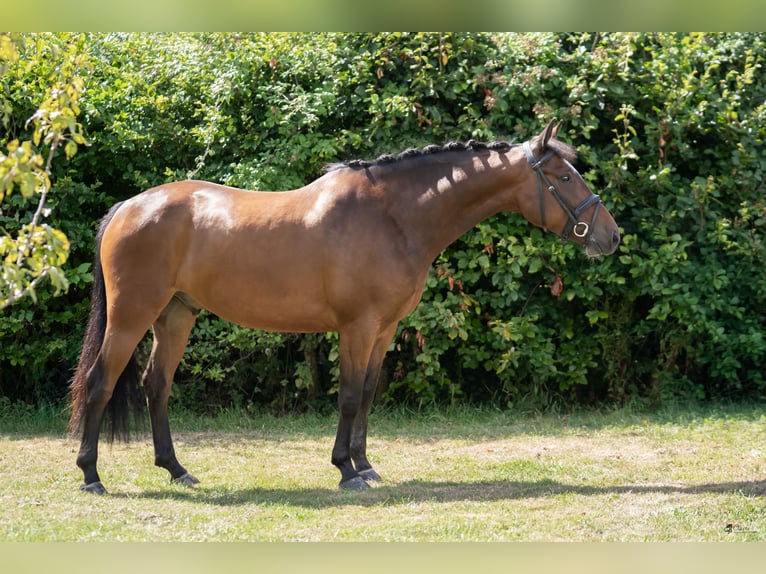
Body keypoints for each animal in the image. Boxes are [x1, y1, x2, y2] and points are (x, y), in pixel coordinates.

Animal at [68, 120, 620, 494]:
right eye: (564, 177)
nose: (611, 237)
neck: (392, 216)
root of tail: (127, 207)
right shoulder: (358, 327)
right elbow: (351, 396)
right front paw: (345, 471)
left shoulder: (385, 330)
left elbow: (370, 394)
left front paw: (365, 465)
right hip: (132, 316)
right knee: (100, 382)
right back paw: (91, 475)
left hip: (175, 316)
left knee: (155, 386)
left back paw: (177, 470)